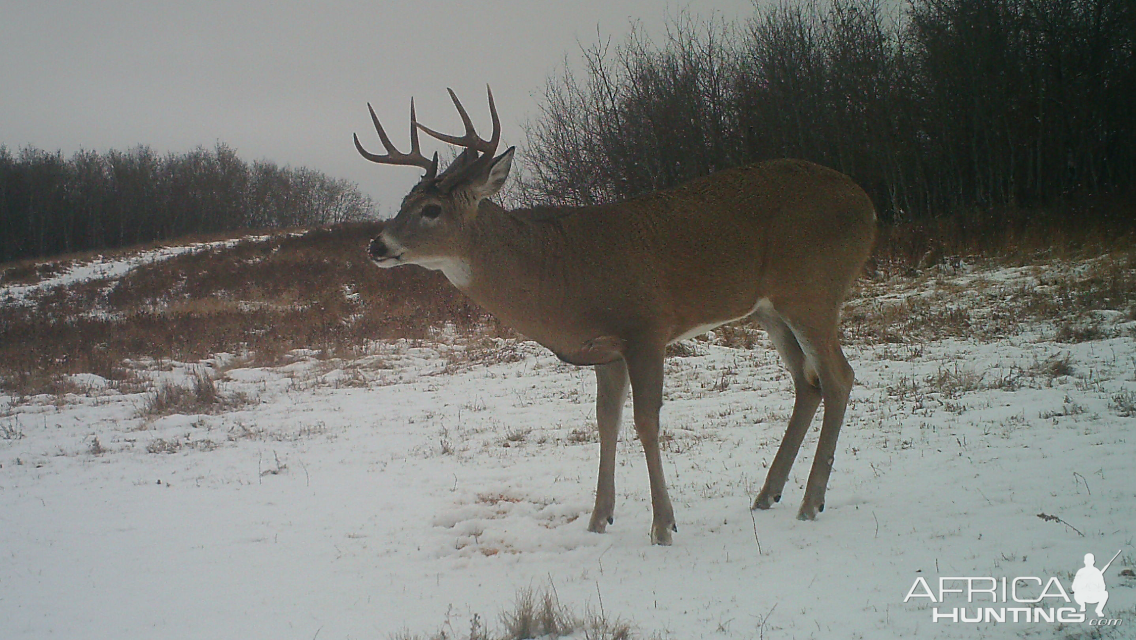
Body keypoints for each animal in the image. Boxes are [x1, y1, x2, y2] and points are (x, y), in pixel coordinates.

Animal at [354, 86, 876, 545]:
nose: (377, 245)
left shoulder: (645, 329)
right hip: (770, 309)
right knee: (807, 383)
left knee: (839, 377)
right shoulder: (605, 351)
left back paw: (810, 501)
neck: (560, 277)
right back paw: (769, 494)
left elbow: (646, 422)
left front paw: (663, 525)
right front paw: (598, 518)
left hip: (813, 290)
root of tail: (868, 205)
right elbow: (606, 422)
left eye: (431, 209)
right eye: (402, 202)